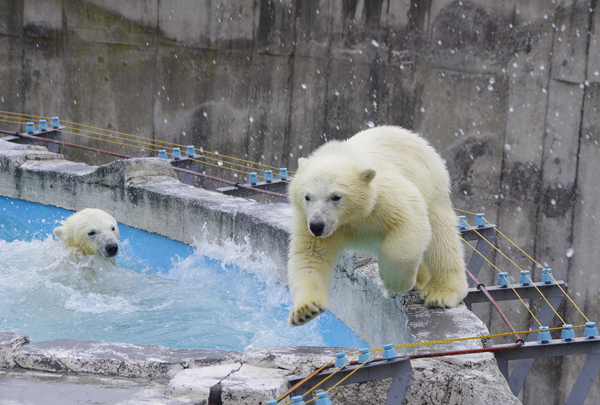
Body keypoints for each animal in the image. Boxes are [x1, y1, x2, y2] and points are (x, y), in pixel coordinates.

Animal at [288, 125, 468, 326]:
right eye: (307, 196)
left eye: (336, 197)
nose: (317, 226)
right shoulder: (307, 219)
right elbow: (310, 255)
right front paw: (305, 310)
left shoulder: (382, 195)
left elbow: (410, 218)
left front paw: (394, 285)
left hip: (431, 183)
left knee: (440, 237)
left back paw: (441, 292)